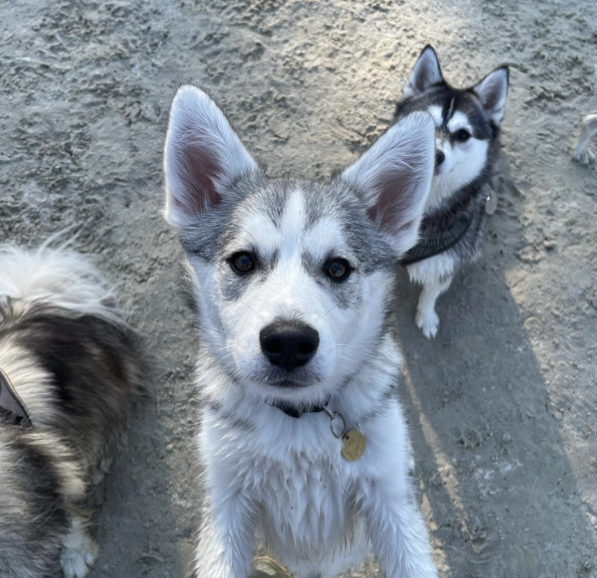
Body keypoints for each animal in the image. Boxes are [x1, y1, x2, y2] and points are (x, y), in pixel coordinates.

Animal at [163, 85, 438, 576]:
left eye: (338, 268)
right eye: (243, 261)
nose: (289, 341)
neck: (297, 425)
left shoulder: (389, 495)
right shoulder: (227, 501)